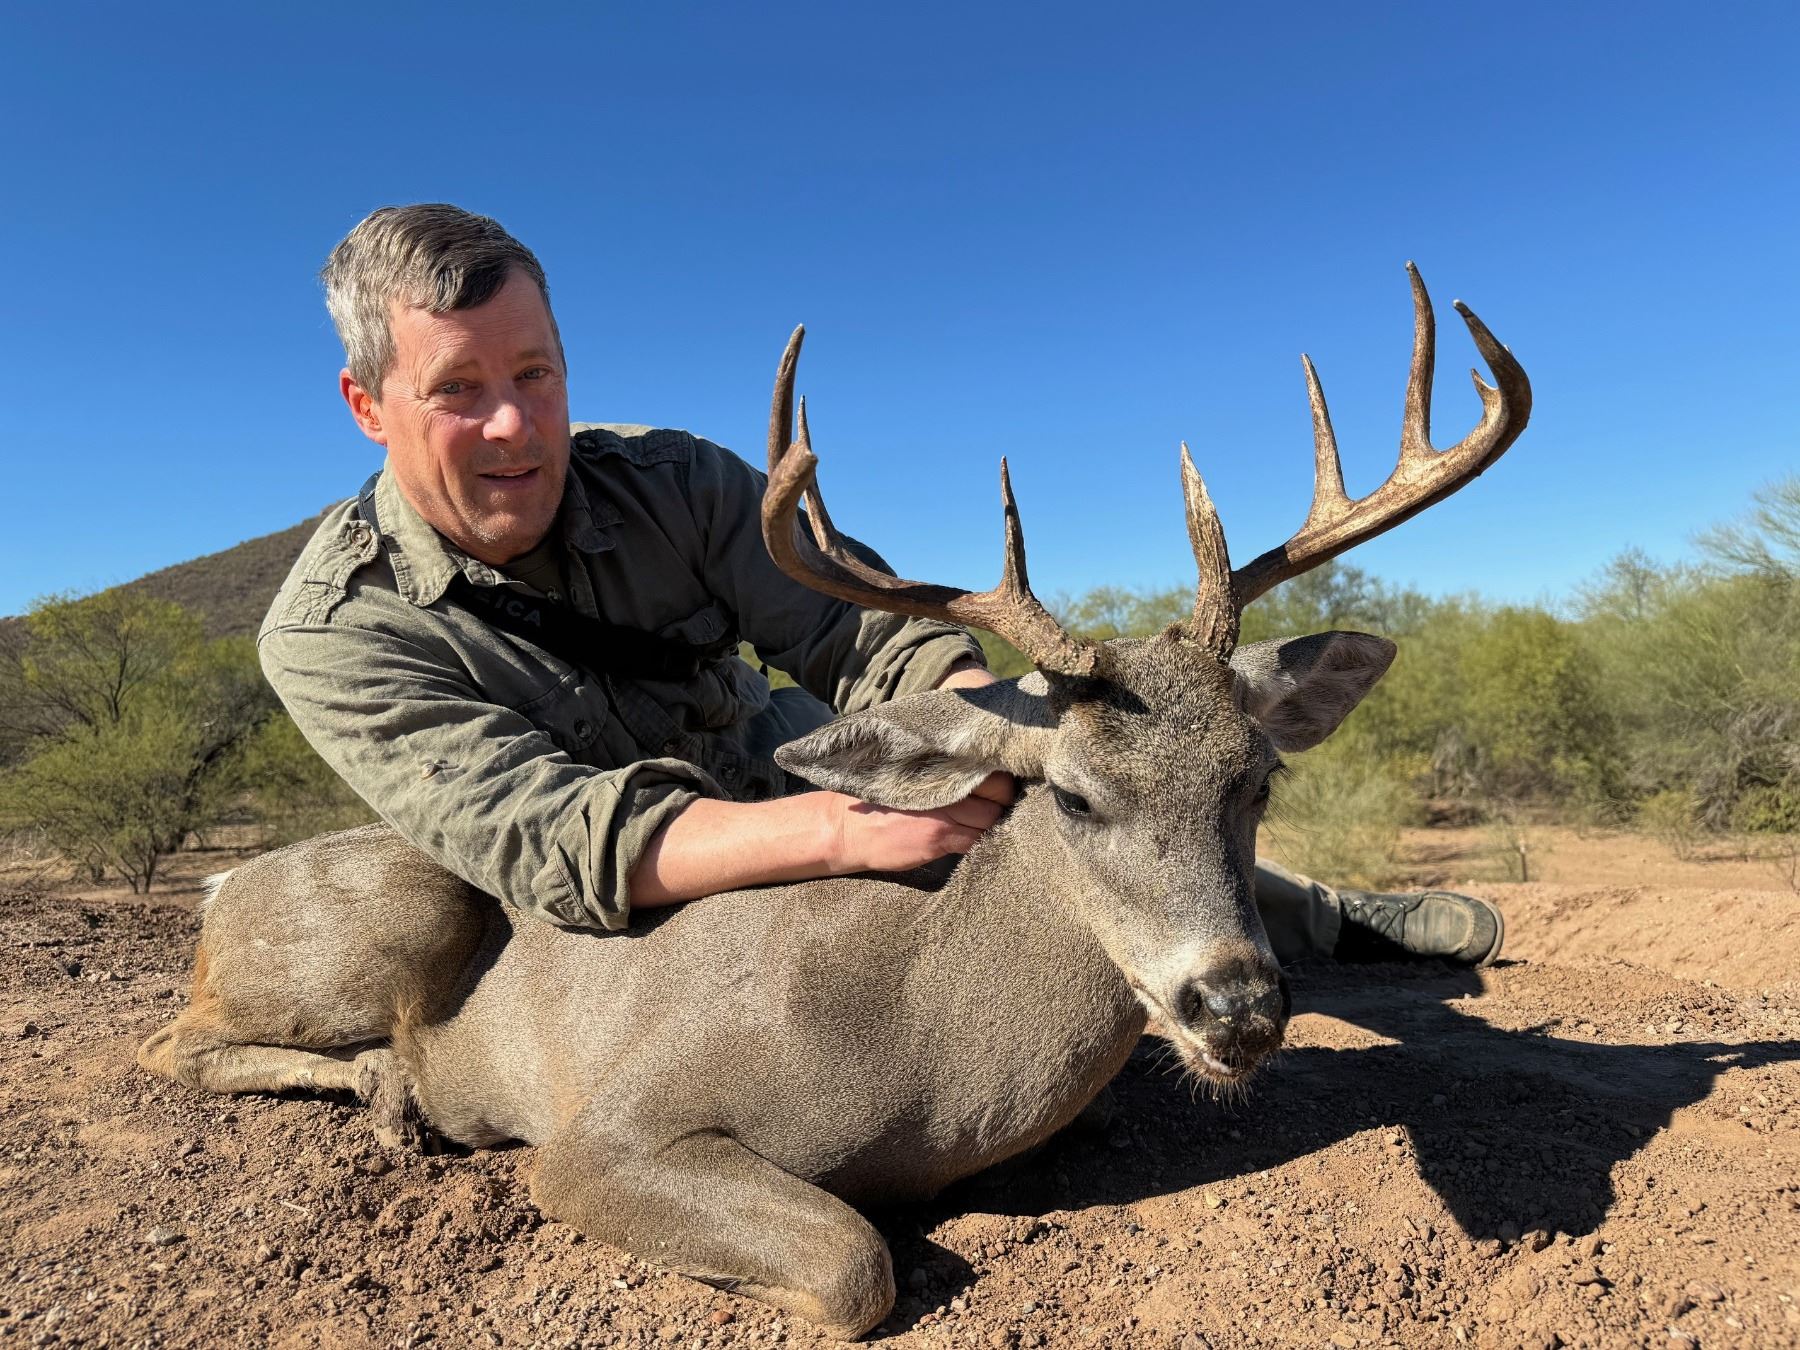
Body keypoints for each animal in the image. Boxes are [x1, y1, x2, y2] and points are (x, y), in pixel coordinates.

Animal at [137, 265, 1529, 1340]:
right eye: (1072, 797)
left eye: (1257, 777)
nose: (1235, 1008)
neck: (921, 1040)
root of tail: (216, 886)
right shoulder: (606, 1132)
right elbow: (854, 1263)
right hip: (398, 911)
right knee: (171, 1043)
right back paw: (392, 1097)